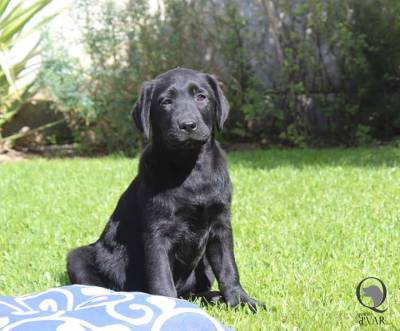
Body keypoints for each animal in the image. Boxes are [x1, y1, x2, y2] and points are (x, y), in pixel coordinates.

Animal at [67, 67, 264, 312]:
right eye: (166, 102)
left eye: (201, 97)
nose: (187, 125)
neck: (190, 169)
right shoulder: (157, 232)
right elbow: (161, 277)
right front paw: (169, 307)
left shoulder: (220, 225)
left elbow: (228, 268)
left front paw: (241, 301)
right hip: (78, 257)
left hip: (204, 266)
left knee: (194, 291)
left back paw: (213, 297)